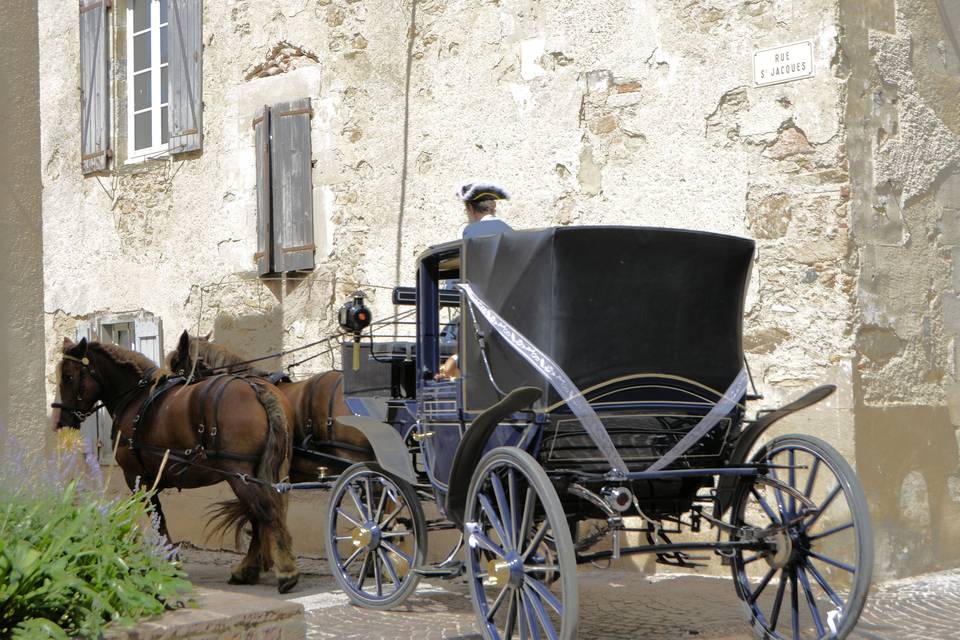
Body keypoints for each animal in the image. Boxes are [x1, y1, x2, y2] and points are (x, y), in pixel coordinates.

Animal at [54, 338, 300, 592]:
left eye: (68, 376)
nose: (63, 420)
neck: (135, 397)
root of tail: (256, 388)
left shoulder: (137, 478)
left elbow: (157, 517)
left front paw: (170, 560)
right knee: (263, 512)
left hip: (239, 474)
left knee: (265, 511)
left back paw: (285, 572)